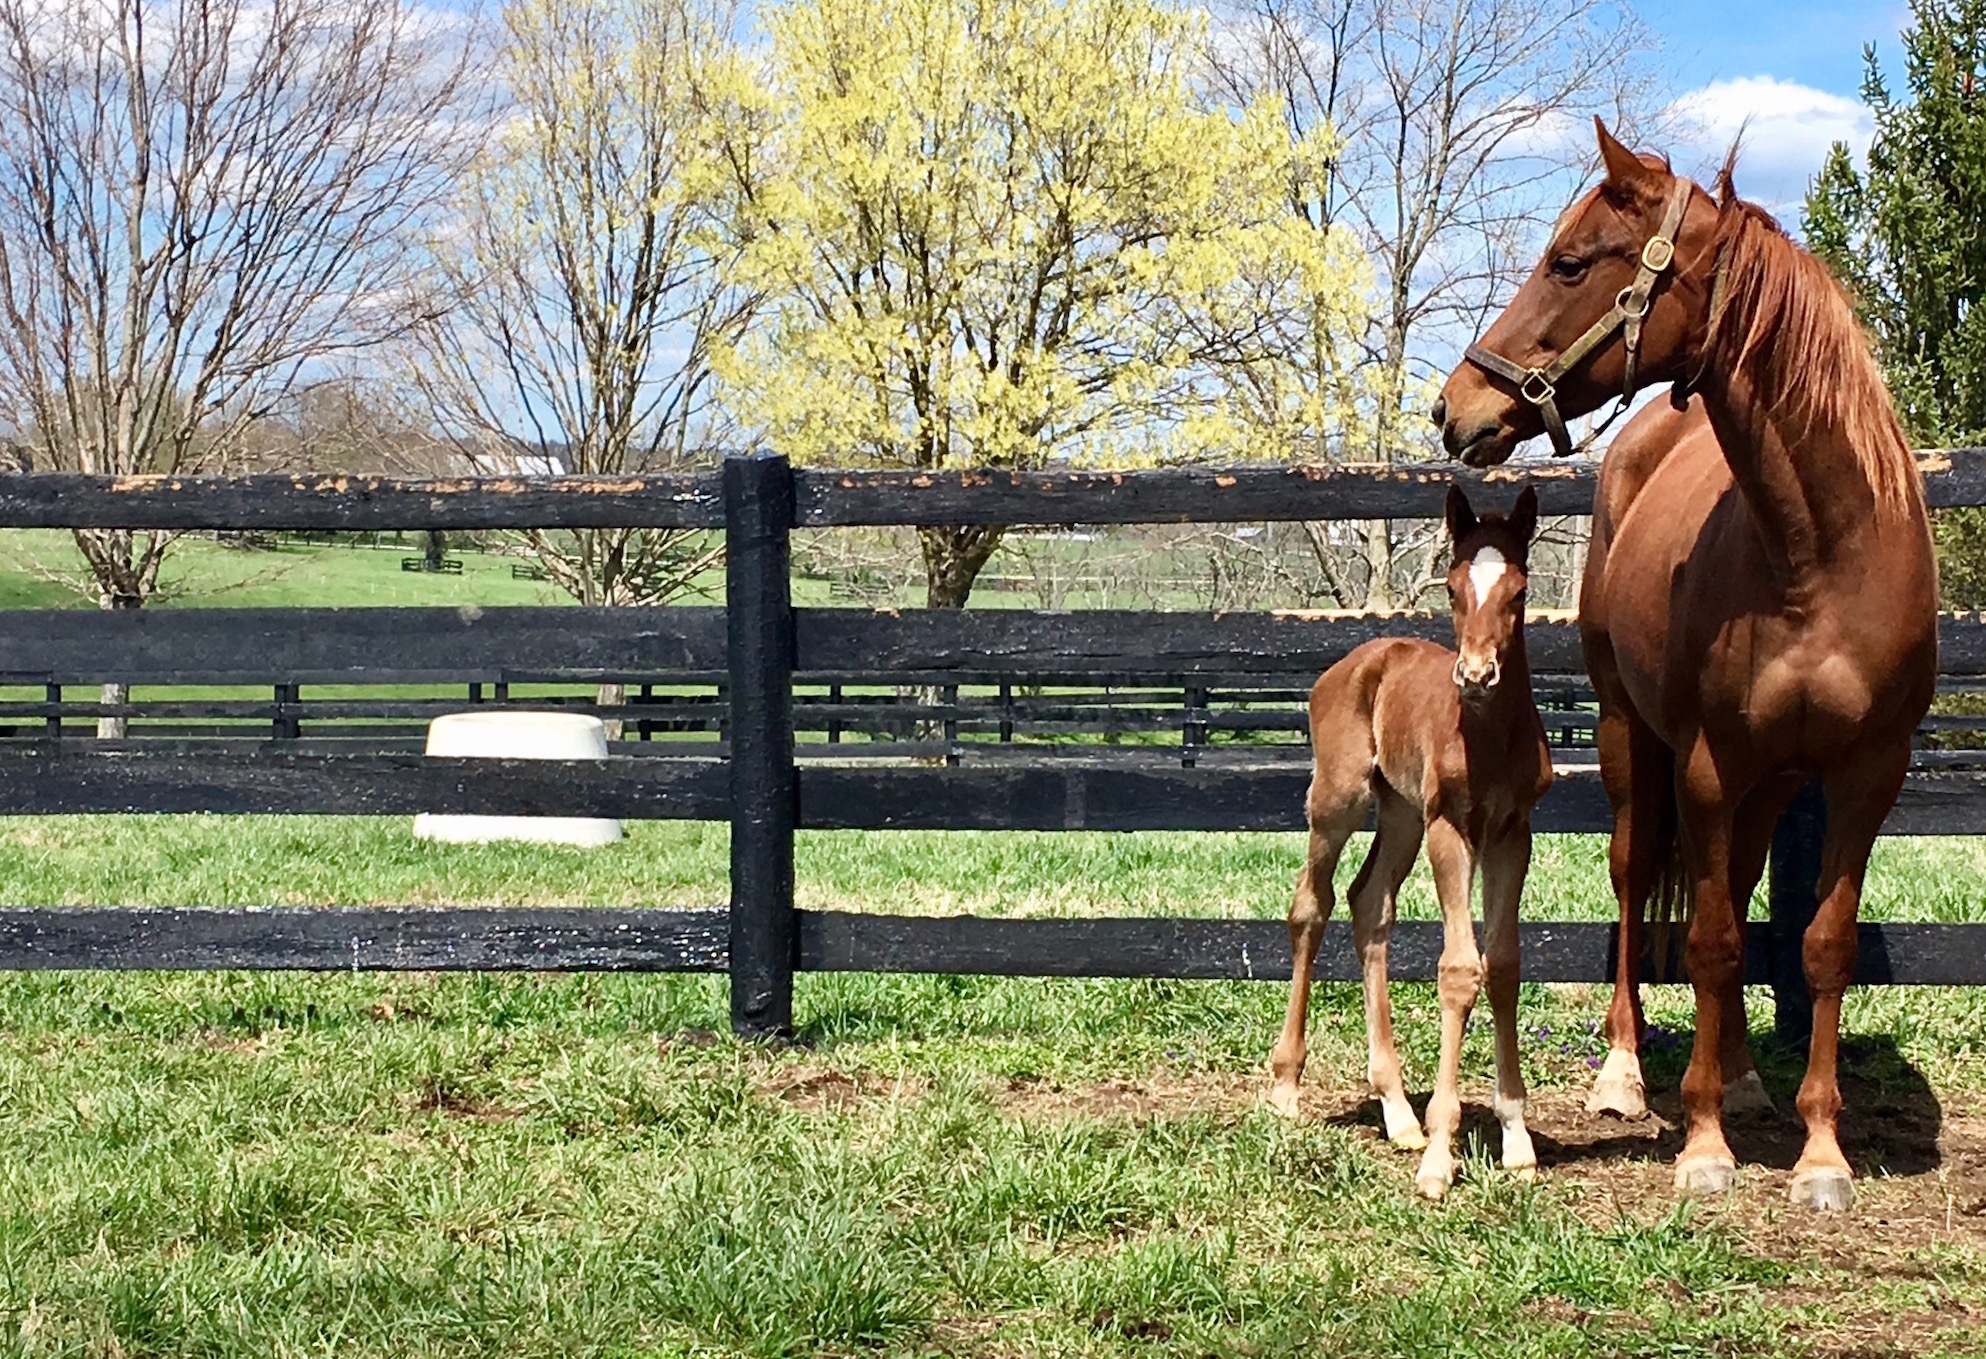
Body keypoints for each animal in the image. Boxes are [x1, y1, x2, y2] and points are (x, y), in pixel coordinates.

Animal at [1271, 484, 1549, 1200]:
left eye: (1519, 590)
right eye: (1452, 588)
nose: (1475, 675)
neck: (1488, 736)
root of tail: (1358, 660)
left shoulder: (1513, 833)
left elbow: (1504, 964)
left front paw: (1517, 1140)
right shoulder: (1450, 827)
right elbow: (1459, 969)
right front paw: (1441, 1157)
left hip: (1399, 813)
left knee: (1369, 903)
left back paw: (1398, 1113)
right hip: (1339, 800)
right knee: (1310, 906)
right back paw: (1285, 1087)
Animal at [1437, 124, 1930, 1208]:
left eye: (1569, 262)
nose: (1455, 407)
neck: (1818, 553)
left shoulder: (1865, 776)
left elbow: (1815, 946)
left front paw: (1819, 1152)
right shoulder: (1705, 765)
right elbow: (1704, 943)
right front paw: (1703, 1147)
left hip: (1768, 781)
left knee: (1735, 890)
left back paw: (1743, 1074)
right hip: (1633, 736)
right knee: (1635, 877)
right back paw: (1628, 1072)